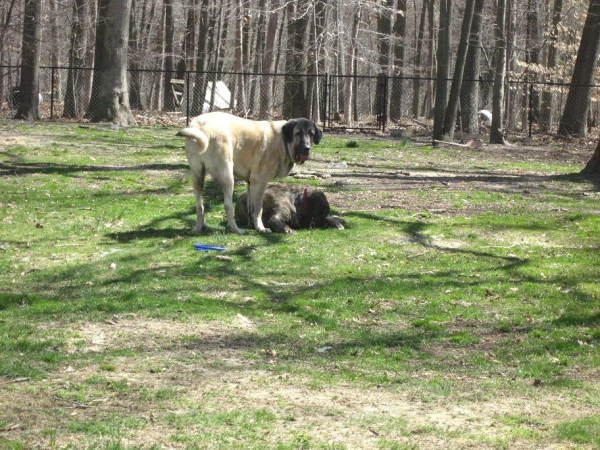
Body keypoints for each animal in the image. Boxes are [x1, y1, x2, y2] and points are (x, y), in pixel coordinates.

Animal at [176, 112, 322, 234]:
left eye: (311, 133)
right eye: (298, 133)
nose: (307, 148)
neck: (282, 140)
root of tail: (204, 127)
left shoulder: (250, 183)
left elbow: (251, 207)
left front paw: (252, 225)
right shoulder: (260, 182)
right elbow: (258, 208)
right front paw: (260, 228)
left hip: (197, 176)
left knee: (199, 206)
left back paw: (198, 228)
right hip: (228, 176)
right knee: (227, 205)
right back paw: (236, 229)